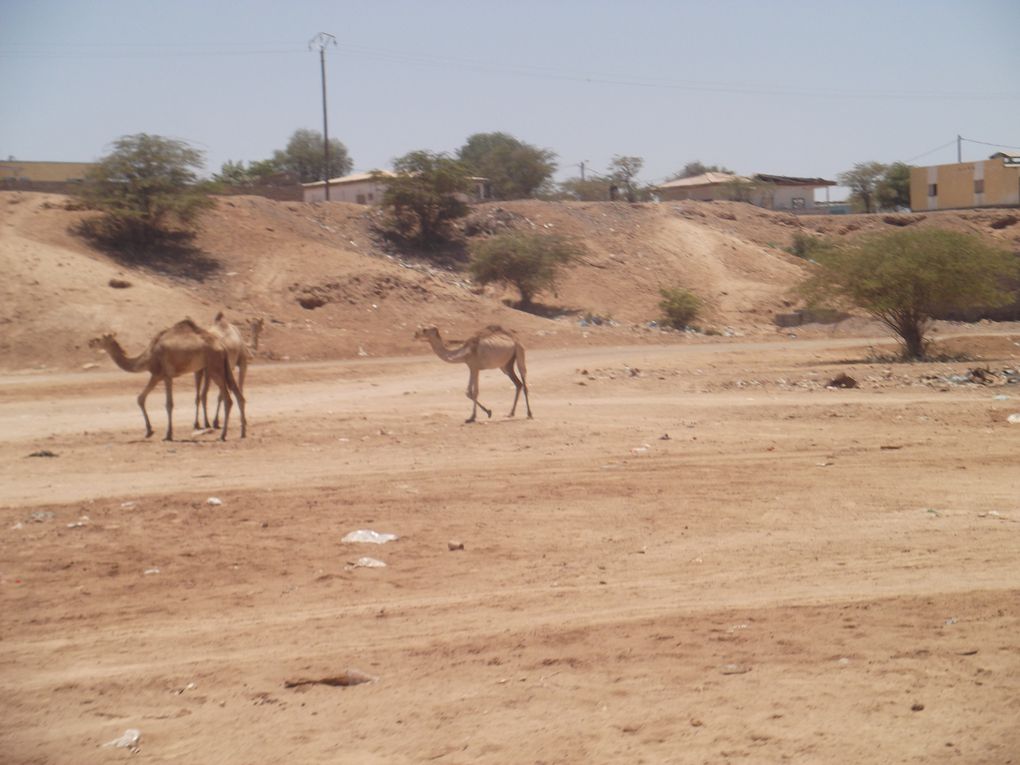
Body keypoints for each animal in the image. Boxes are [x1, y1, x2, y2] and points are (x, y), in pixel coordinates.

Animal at [88, 318, 246, 440]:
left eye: (99, 338)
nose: (89, 342)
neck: (147, 356)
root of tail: (222, 346)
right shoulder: (167, 377)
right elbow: (164, 403)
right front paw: (158, 431)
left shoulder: (158, 374)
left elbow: (145, 399)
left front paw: (158, 432)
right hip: (224, 366)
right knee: (238, 396)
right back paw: (242, 432)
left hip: (215, 367)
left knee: (228, 398)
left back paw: (223, 435)